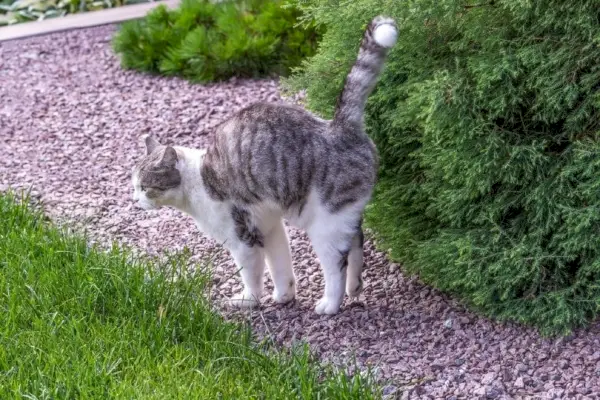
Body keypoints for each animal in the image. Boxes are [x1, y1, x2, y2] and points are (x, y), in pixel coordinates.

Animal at [129, 16, 396, 316]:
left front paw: (249, 300)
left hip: (325, 224)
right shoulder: (269, 227)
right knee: (357, 241)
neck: (198, 180)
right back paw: (355, 287)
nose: (134, 199)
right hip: (344, 216)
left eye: (145, 187)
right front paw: (285, 295)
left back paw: (330, 303)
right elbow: (280, 265)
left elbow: (251, 274)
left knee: (336, 264)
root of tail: (339, 128)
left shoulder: (241, 239)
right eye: (134, 186)